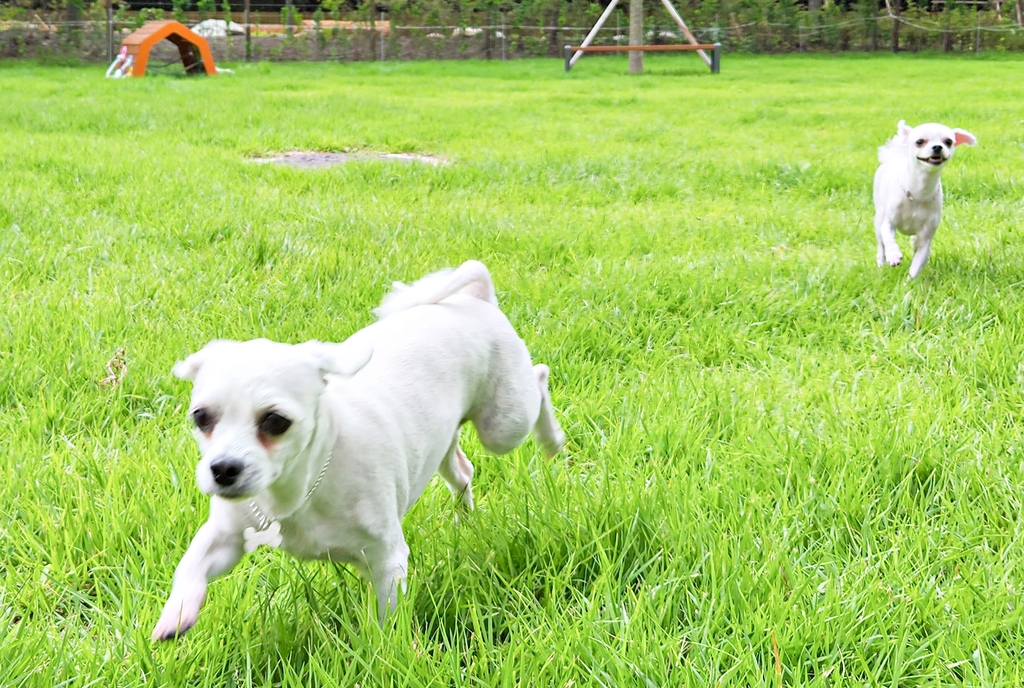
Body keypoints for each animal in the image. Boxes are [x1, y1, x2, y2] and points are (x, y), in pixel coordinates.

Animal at [153, 259, 569, 638]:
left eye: (275, 421)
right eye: (200, 417)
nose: (223, 469)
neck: (297, 494)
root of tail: (475, 299)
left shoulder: (387, 562)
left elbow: (386, 621)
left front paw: (385, 651)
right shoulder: (224, 538)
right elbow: (190, 566)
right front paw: (177, 612)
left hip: (505, 424)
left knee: (539, 378)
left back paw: (552, 441)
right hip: (445, 439)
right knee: (463, 470)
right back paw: (464, 518)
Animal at [872, 119, 974, 278]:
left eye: (948, 141)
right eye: (919, 141)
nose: (938, 147)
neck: (918, 193)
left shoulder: (926, 240)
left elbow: (916, 264)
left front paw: (909, 281)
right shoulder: (888, 223)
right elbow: (888, 236)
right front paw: (893, 255)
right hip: (879, 218)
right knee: (880, 245)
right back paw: (881, 264)